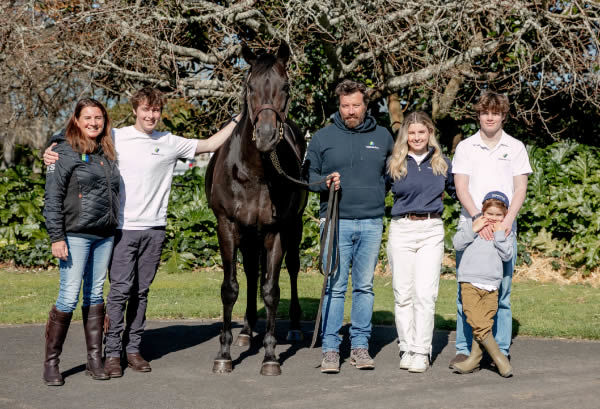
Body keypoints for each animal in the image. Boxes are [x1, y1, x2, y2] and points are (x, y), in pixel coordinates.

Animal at [206, 43, 310, 374]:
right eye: (250, 87)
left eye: (286, 87)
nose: (266, 136)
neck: (254, 172)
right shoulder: (226, 226)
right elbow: (230, 287)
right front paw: (224, 354)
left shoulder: (276, 231)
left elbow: (271, 290)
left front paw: (270, 355)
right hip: (248, 235)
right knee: (251, 273)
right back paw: (246, 330)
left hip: (292, 228)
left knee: (291, 269)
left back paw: (292, 327)